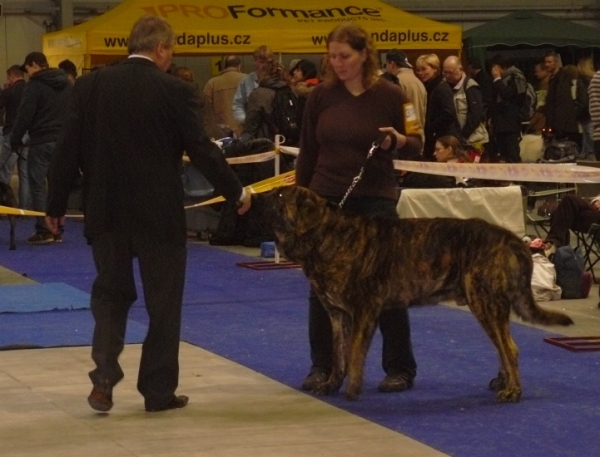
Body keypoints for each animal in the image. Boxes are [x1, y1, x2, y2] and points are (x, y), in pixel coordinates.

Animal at [262, 185, 572, 402]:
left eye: (280, 195)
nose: (257, 196)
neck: (326, 236)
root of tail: (510, 238)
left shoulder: (364, 311)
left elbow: (354, 354)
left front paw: (352, 390)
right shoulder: (338, 315)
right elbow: (339, 355)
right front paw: (330, 385)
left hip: (485, 302)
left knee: (509, 348)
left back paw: (513, 391)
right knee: (503, 347)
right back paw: (505, 382)